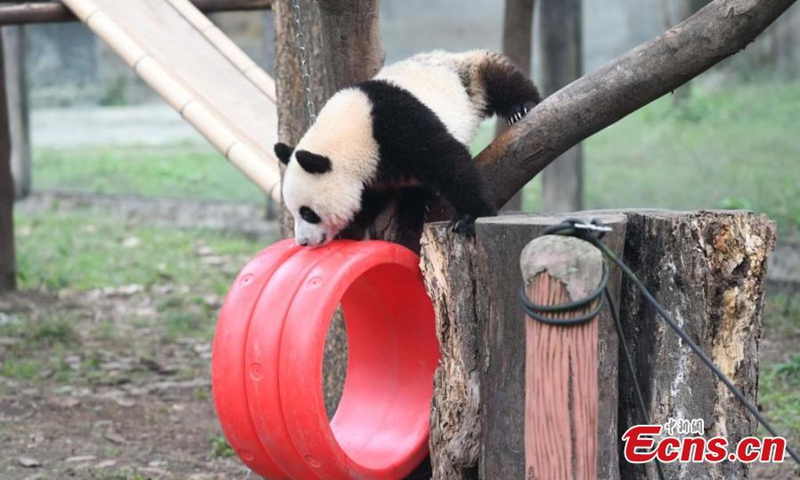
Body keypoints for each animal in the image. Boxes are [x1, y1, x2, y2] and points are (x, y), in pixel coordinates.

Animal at [274, 49, 541, 247]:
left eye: (308, 213)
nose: (303, 242)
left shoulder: (396, 127)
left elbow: (447, 160)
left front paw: (469, 217)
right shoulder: (373, 170)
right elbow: (370, 199)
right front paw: (351, 228)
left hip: (467, 76)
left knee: (499, 78)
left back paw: (521, 108)